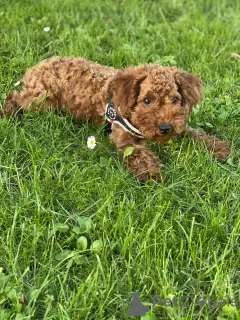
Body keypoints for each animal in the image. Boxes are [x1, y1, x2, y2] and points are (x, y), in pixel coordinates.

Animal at [1, 57, 231, 182]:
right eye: (146, 100)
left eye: (175, 100)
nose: (165, 128)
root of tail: (35, 68)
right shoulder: (124, 136)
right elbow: (140, 154)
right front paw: (152, 175)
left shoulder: (179, 125)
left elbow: (195, 134)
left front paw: (220, 148)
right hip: (42, 99)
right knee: (15, 97)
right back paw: (8, 115)